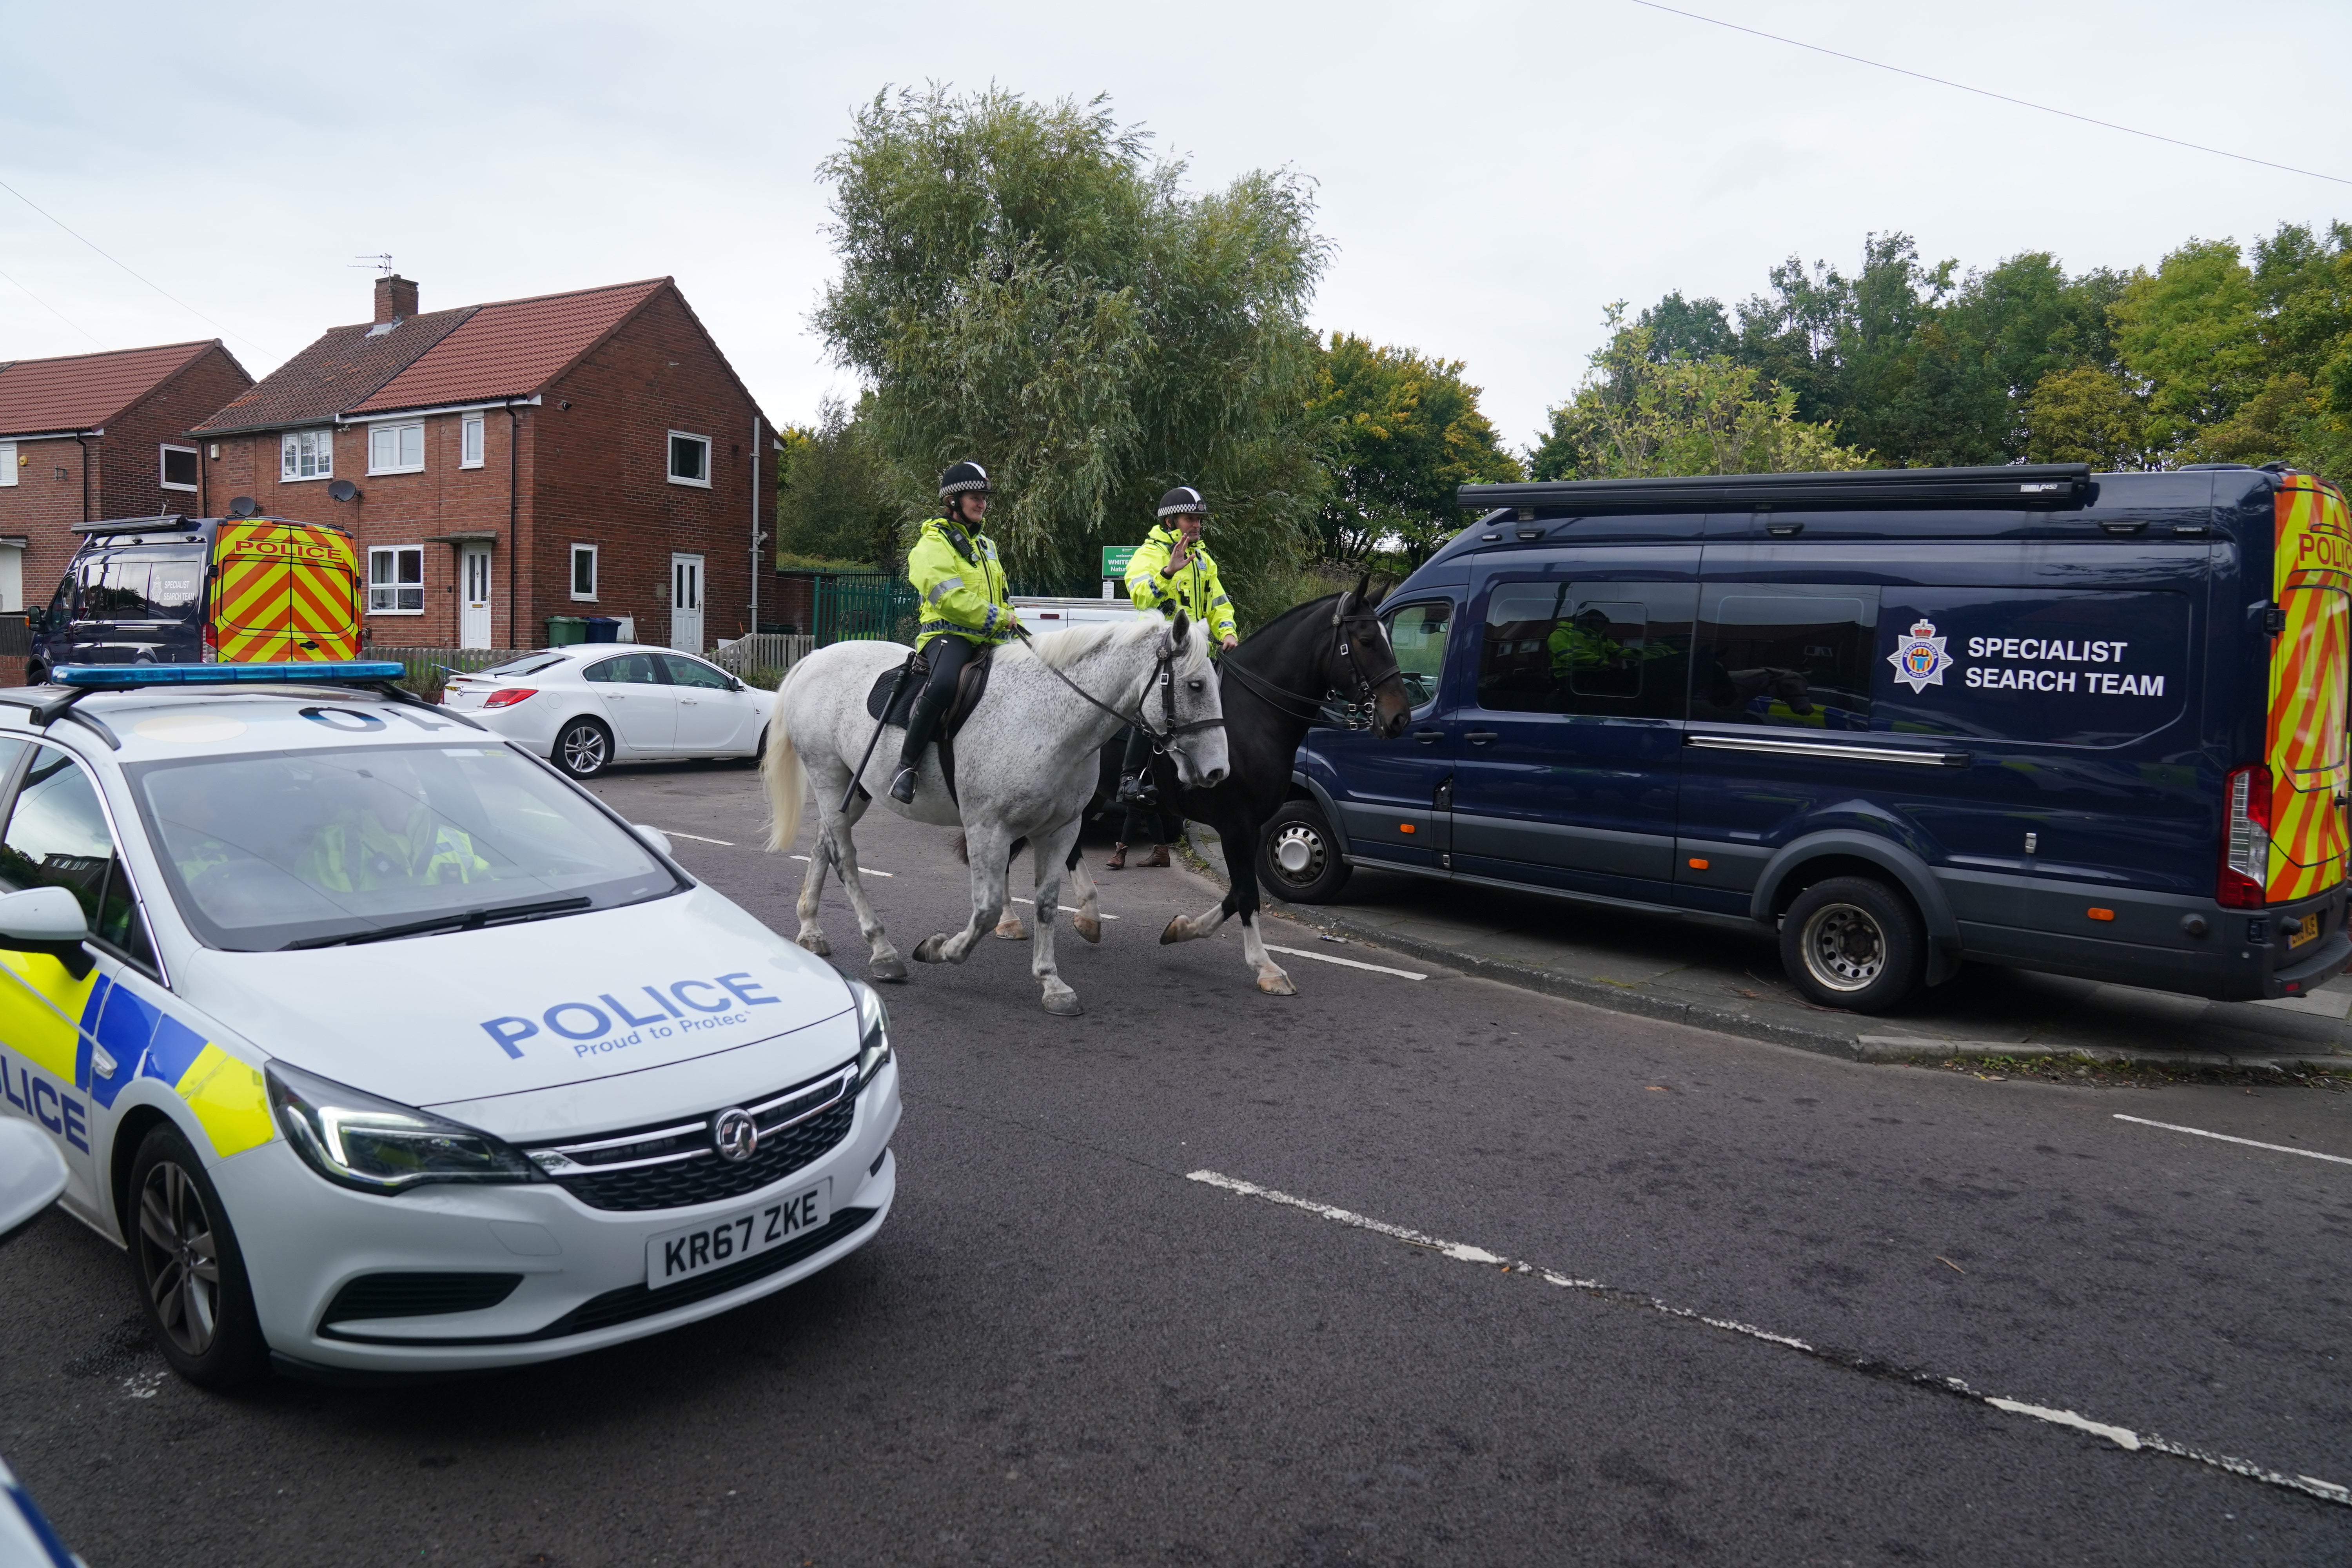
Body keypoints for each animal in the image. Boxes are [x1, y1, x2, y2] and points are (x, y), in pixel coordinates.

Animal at [762, 611, 1232, 1020]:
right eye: (1195, 685)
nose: (1218, 772)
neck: (1050, 721)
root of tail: (813, 659)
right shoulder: (988, 829)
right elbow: (986, 910)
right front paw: (939, 949)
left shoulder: (1061, 831)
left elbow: (1046, 904)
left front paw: (1052, 984)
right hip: (829, 779)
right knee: (845, 859)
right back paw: (884, 951)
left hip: (853, 792)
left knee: (824, 846)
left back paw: (811, 930)